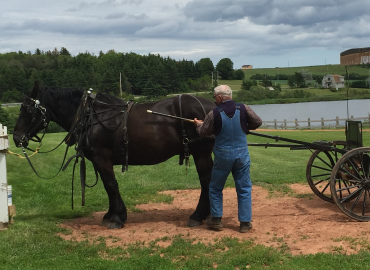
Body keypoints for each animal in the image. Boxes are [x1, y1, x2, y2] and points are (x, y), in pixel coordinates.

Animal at [13, 82, 217, 228]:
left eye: (28, 109)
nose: (16, 138)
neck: (91, 116)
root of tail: (213, 106)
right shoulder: (99, 161)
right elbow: (108, 186)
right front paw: (110, 215)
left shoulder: (102, 159)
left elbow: (111, 185)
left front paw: (117, 218)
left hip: (201, 153)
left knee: (206, 181)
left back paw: (197, 216)